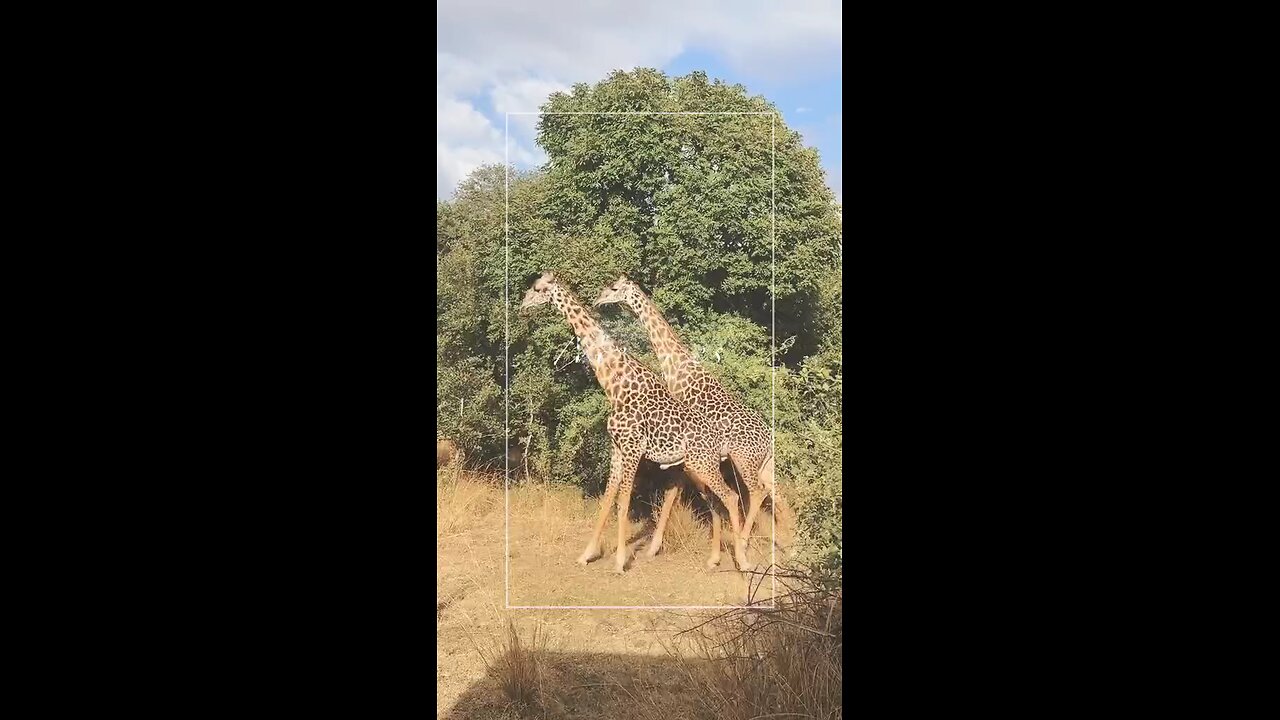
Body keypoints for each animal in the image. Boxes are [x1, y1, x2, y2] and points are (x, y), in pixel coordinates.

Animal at [517, 269, 747, 571]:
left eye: (537, 288)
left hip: (702, 463)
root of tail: (718, 441)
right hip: (695, 466)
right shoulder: (617, 448)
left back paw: (743, 560)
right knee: (716, 499)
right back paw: (716, 558)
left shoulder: (632, 448)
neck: (614, 384)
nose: (522, 306)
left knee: (730, 496)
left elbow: (623, 501)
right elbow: (607, 499)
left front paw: (619, 561)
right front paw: (586, 554)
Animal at [591, 274, 788, 566]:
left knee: (757, 492)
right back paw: (791, 545)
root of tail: (769, 439)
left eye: (614, 288)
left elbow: (673, 492)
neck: (676, 366)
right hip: (763, 463)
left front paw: (655, 549)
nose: (597, 299)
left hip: (743, 460)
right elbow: (678, 493)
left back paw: (744, 548)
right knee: (777, 491)